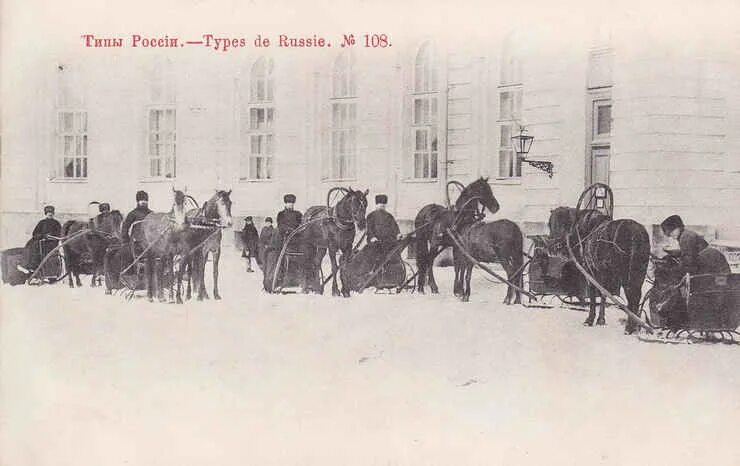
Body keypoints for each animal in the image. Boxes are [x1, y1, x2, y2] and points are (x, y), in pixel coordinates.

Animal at [540, 206, 652, 334]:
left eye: (564, 223)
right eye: (550, 223)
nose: (553, 246)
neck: (585, 229)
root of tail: (638, 233)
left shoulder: (591, 271)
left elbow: (594, 294)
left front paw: (590, 319)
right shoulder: (604, 273)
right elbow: (603, 293)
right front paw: (601, 319)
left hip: (626, 274)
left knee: (632, 296)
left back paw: (630, 327)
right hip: (639, 274)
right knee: (637, 295)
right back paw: (636, 326)